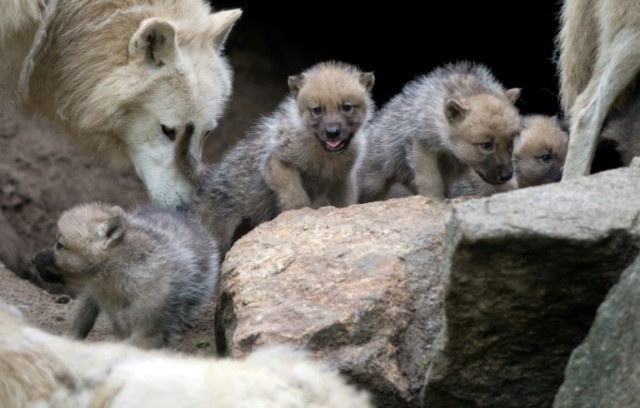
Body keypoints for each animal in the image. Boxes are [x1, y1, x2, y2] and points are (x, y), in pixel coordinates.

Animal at [178, 61, 375, 256]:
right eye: (317, 110)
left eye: (346, 107)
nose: (332, 133)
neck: (324, 154)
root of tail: (211, 173)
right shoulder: (278, 162)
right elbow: (296, 196)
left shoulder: (342, 179)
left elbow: (346, 203)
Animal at [356, 60, 521, 203]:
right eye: (486, 144)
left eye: (511, 142)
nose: (506, 175)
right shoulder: (421, 142)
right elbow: (429, 176)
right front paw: (434, 199)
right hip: (374, 176)